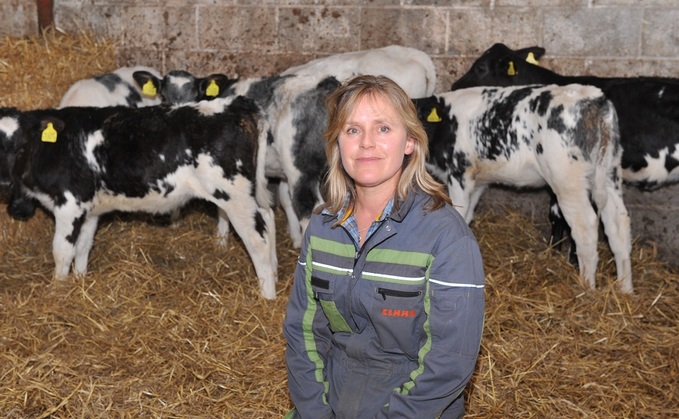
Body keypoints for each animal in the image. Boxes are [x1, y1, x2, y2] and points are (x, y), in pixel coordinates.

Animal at [0, 95, 278, 298]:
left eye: (21, 145)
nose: (4, 181)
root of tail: (236, 105)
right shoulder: (90, 209)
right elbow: (83, 247)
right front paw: (80, 281)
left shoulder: (70, 205)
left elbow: (62, 251)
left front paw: (58, 290)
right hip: (250, 192)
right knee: (270, 218)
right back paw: (274, 274)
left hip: (234, 195)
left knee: (258, 238)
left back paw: (267, 295)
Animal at [412, 84, 636, 294]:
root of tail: (592, 97)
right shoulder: (478, 181)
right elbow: (465, 219)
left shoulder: (460, 173)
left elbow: (458, 214)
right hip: (610, 172)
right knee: (618, 225)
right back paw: (625, 289)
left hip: (567, 179)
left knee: (585, 226)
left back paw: (586, 288)